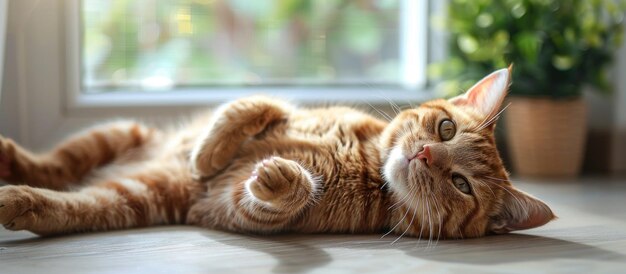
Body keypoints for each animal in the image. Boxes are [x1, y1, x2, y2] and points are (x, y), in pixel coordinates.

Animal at [0, 67, 552, 239]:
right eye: (445, 127)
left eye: (461, 184)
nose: (424, 157)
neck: (367, 163)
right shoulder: (289, 109)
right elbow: (258, 104)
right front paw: (207, 149)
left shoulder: (231, 210)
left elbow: (275, 199)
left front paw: (282, 177)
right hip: (118, 133)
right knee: (55, 165)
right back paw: (11, 160)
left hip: (131, 197)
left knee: (67, 202)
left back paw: (16, 200)